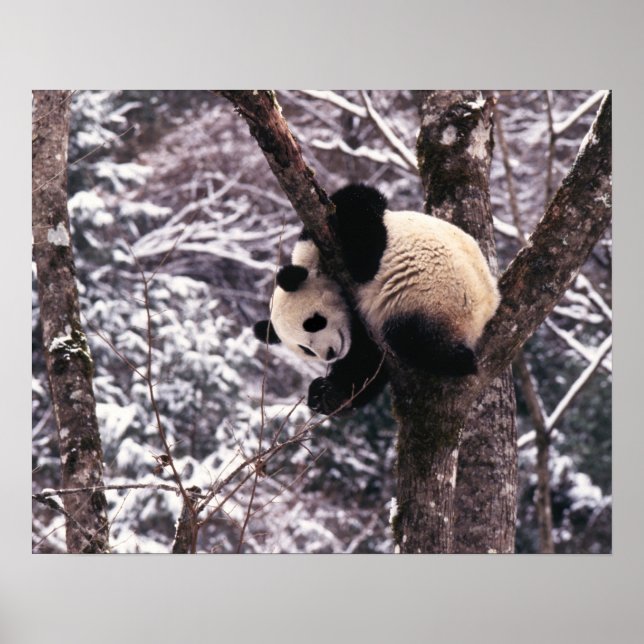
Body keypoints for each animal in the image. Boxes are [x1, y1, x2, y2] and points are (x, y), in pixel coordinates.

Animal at [253, 184, 500, 414]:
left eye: (314, 323)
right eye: (305, 349)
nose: (329, 354)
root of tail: (486, 311)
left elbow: (358, 208)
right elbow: (366, 362)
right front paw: (325, 395)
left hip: (434, 297)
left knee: (411, 338)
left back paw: (458, 360)